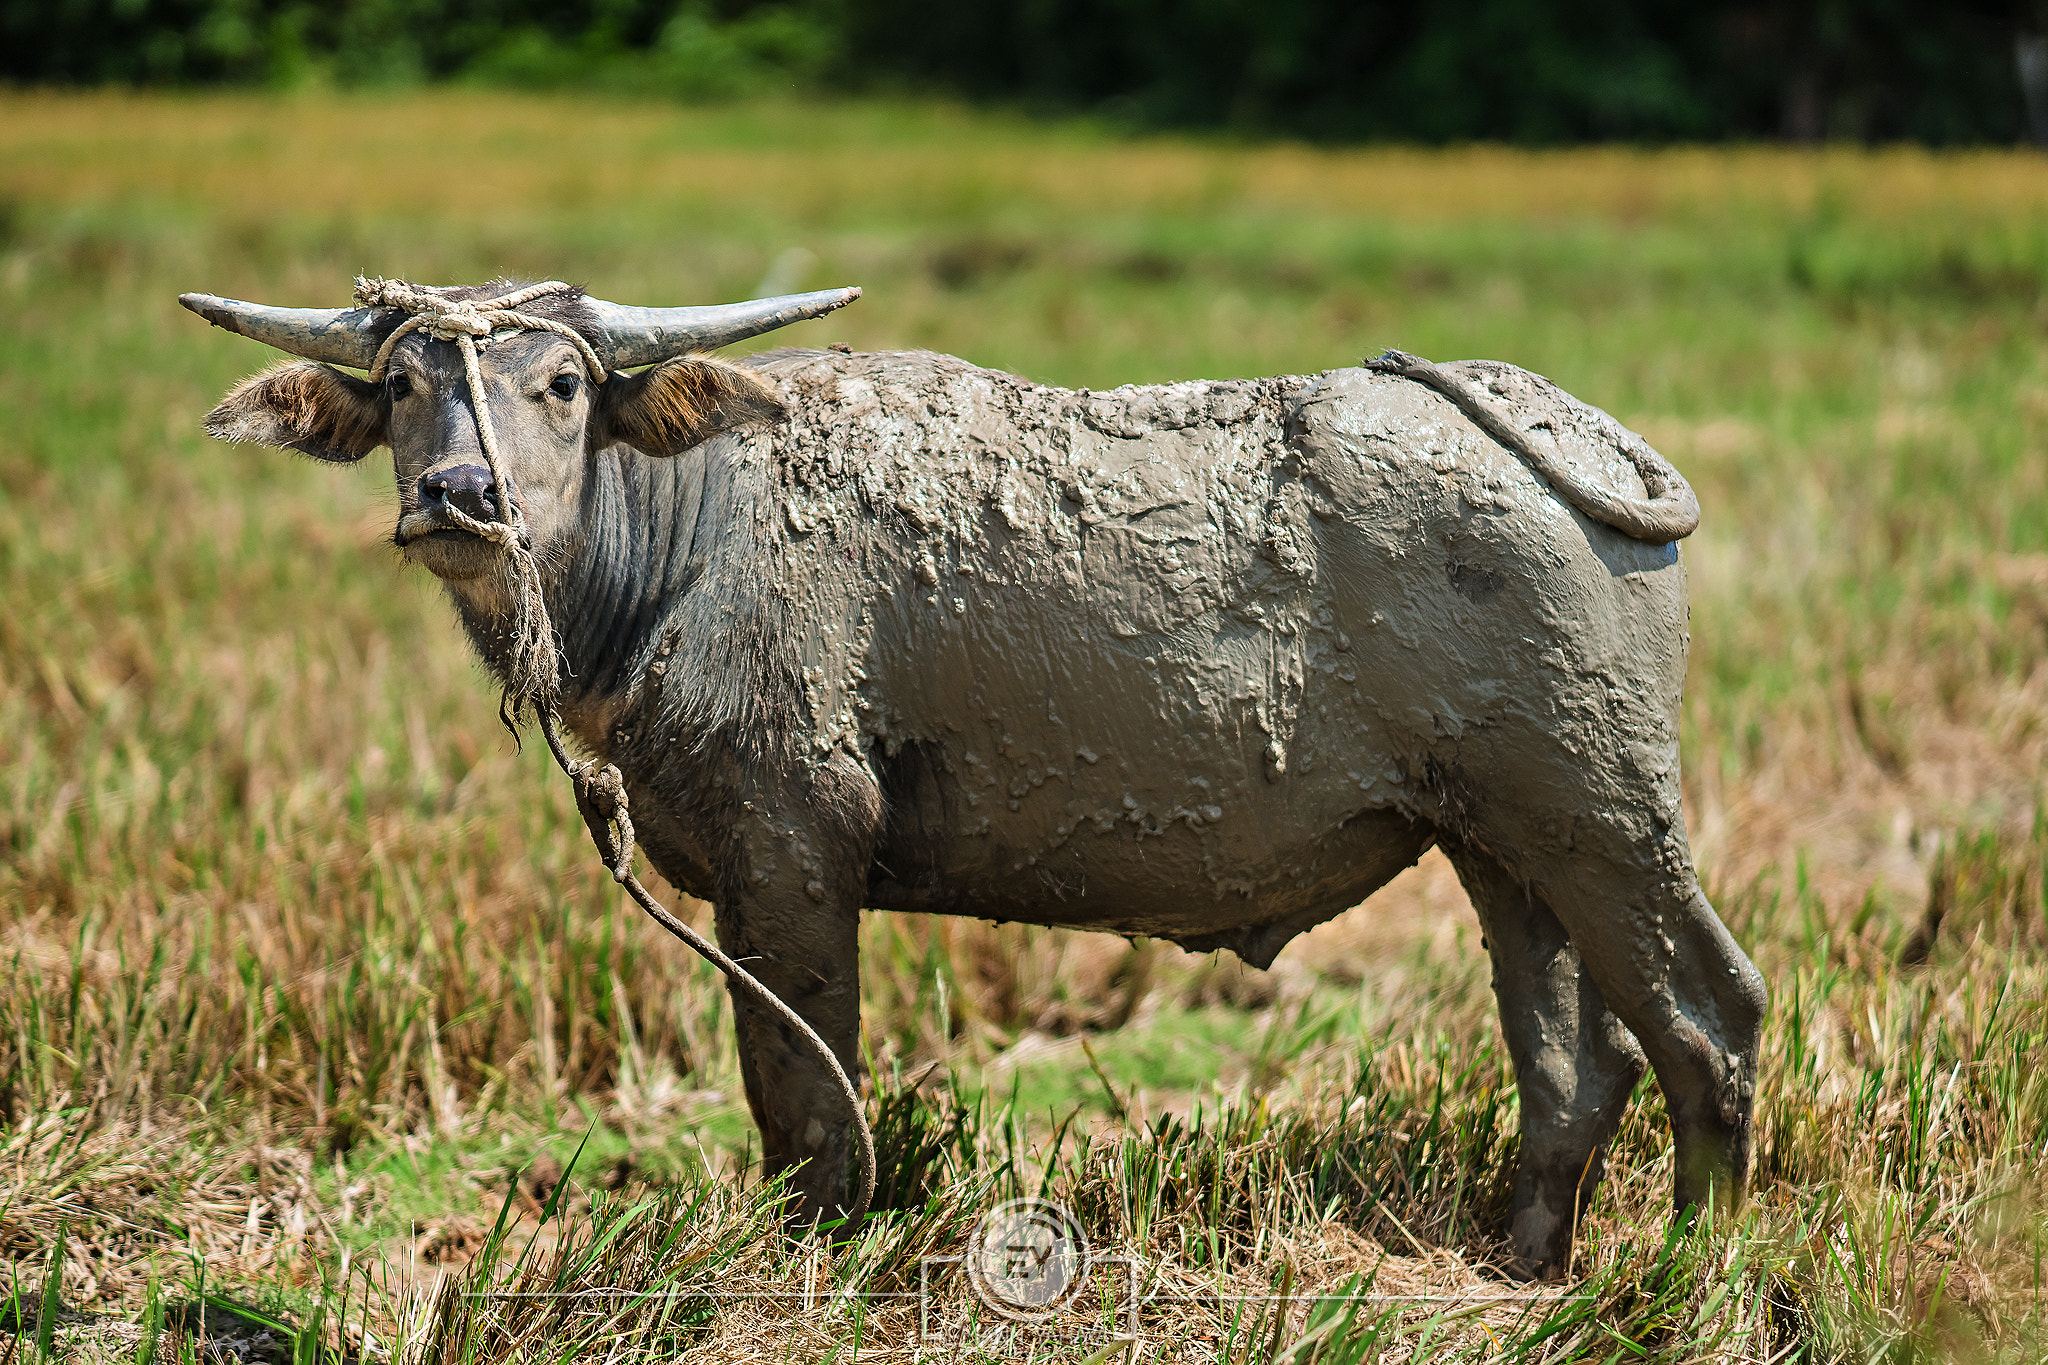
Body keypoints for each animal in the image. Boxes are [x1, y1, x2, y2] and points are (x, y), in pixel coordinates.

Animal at [184, 278, 1769, 1285]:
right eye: (403, 386)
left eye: (562, 384)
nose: (460, 498)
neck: (692, 530)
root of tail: (1565, 432)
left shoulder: (791, 851)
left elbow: (803, 1096)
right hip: (1502, 844)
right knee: (1575, 1063)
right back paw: (1525, 1266)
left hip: (1602, 816)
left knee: (1711, 1021)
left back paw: (1687, 1273)